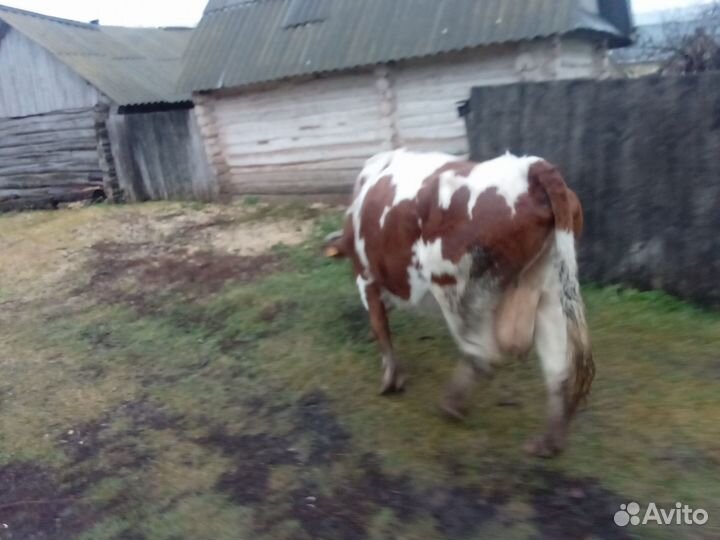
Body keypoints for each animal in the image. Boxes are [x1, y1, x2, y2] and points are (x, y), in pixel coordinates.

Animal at [325, 149, 594, 457]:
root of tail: (529, 168)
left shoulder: (366, 277)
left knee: (482, 354)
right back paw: (548, 441)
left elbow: (380, 325)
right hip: (550, 292)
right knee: (557, 369)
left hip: (455, 287)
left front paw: (391, 379)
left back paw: (451, 405)